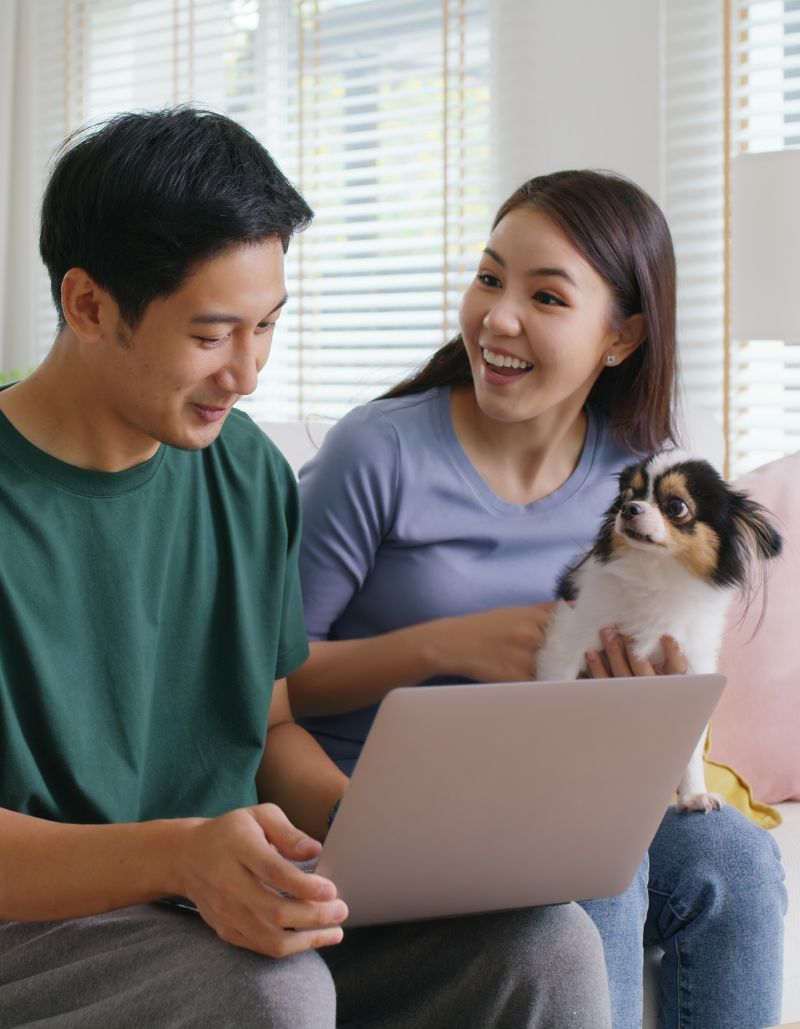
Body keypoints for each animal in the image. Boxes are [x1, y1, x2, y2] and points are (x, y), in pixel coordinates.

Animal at [535, 448, 778, 810]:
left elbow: (691, 750)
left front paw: (693, 795)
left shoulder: (692, 666)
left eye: (676, 506)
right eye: (627, 495)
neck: (654, 576)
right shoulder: (568, 645)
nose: (630, 509)